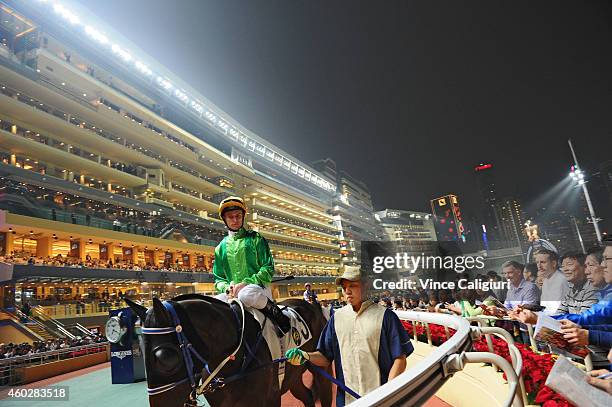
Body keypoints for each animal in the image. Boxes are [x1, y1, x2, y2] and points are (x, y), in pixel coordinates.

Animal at [126, 296, 332, 407]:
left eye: (166, 357)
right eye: (140, 349)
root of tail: (311, 304)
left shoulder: (270, 398)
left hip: (321, 365)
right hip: (293, 375)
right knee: (307, 395)